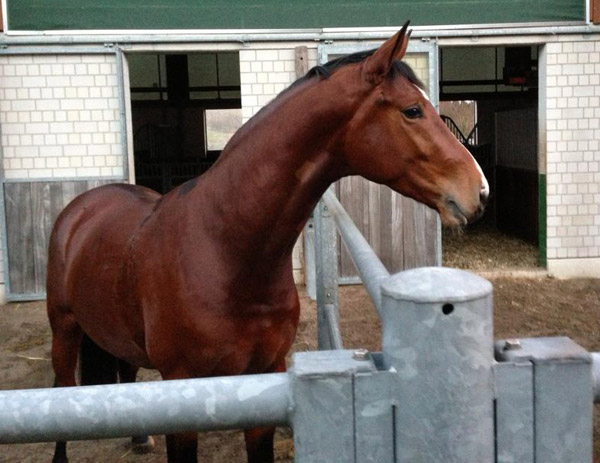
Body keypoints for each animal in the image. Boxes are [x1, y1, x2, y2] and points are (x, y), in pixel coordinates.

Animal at [45, 24, 488, 463]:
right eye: (412, 110)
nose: (479, 191)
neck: (224, 253)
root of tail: (83, 207)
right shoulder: (182, 387)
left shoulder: (264, 378)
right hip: (64, 330)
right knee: (62, 390)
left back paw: (140, 437)